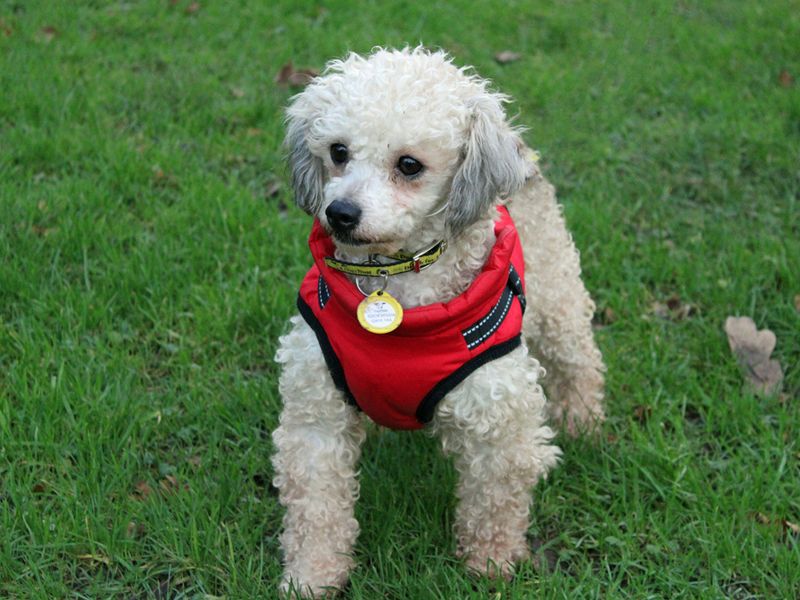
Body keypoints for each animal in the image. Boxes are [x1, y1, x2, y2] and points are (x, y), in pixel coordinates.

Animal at [272, 45, 604, 596]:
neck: (394, 287)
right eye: (338, 151)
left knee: (580, 362)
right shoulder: (315, 416)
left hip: (558, 301)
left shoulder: (498, 425)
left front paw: (490, 567)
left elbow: (494, 508)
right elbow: (317, 511)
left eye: (409, 164)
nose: (340, 212)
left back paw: (583, 422)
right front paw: (311, 577)